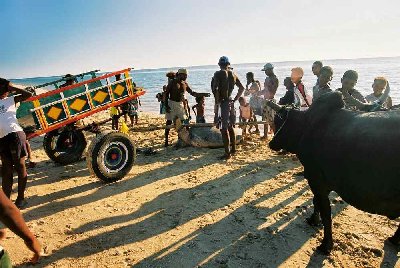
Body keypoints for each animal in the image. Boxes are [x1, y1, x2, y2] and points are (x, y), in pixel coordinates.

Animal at [266, 91, 400, 253]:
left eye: (280, 121)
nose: (272, 143)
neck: (307, 126)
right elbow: (316, 202)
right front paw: (313, 220)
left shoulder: (316, 179)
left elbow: (324, 211)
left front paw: (326, 244)